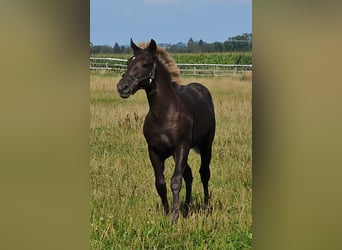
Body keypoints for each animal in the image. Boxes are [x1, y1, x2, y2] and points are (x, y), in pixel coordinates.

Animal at [116, 39, 215, 223]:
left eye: (145, 64)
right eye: (128, 62)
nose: (122, 87)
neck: (164, 113)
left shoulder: (181, 148)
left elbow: (175, 181)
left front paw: (174, 218)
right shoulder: (154, 151)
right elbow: (160, 183)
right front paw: (167, 212)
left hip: (206, 145)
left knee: (204, 173)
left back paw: (206, 206)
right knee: (189, 174)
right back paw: (187, 206)